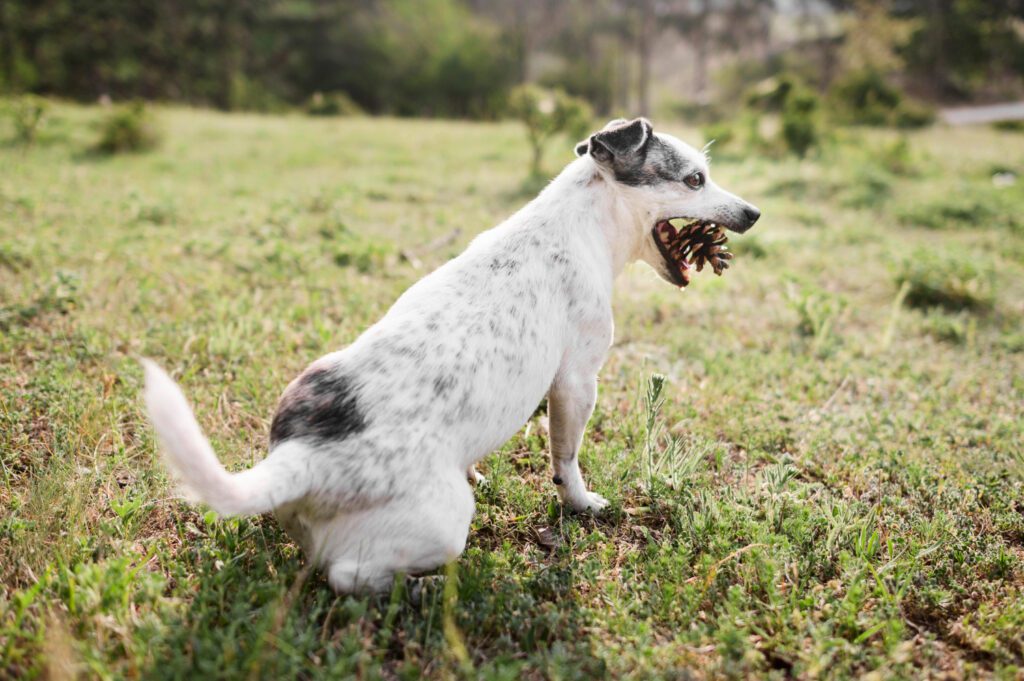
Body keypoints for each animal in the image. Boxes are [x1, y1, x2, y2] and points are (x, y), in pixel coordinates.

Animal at [148, 119, 765, 593]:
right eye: (695, 179)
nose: (754, 212)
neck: (583, 219)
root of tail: (301, 456)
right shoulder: (576, 381)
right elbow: (566, 459)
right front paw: (581, 503)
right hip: (443, 524)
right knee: (347, 577)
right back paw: (422, 590)